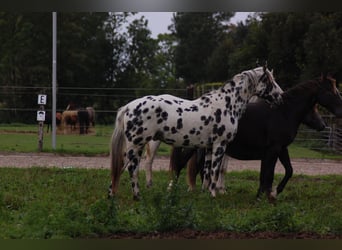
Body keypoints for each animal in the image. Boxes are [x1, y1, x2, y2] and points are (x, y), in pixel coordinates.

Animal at [168, 74, 342, 201]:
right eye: (331, 92)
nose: (322, 125)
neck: (283, 112)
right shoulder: (273, 149)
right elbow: (268, 174)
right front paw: (264, 197)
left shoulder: (280, 149)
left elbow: (285, 171)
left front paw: (273, 193)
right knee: (180, 164)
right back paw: (174, 190)